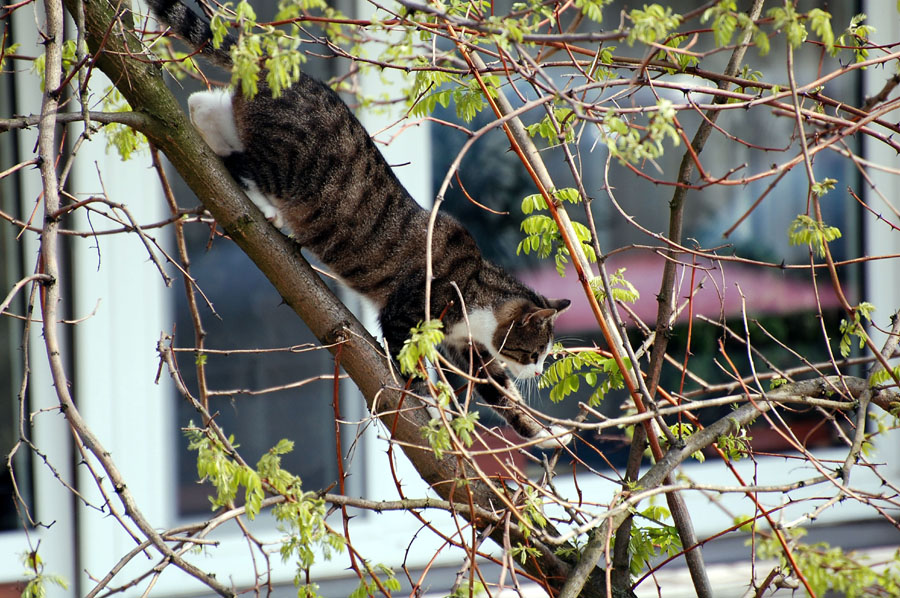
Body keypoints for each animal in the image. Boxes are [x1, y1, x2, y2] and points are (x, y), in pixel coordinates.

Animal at [147, 0, 572, 448]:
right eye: (534, 353)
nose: (539, 371)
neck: (477, 286)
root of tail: (283, 71)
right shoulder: (406, 315)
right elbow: (414, 369)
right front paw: (429, 407)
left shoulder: (468, 349)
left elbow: (503, 395)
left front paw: (547, 435)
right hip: (287, 168)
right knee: (238, 162)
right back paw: (265, 209)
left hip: (239, 121)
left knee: (200, 107)